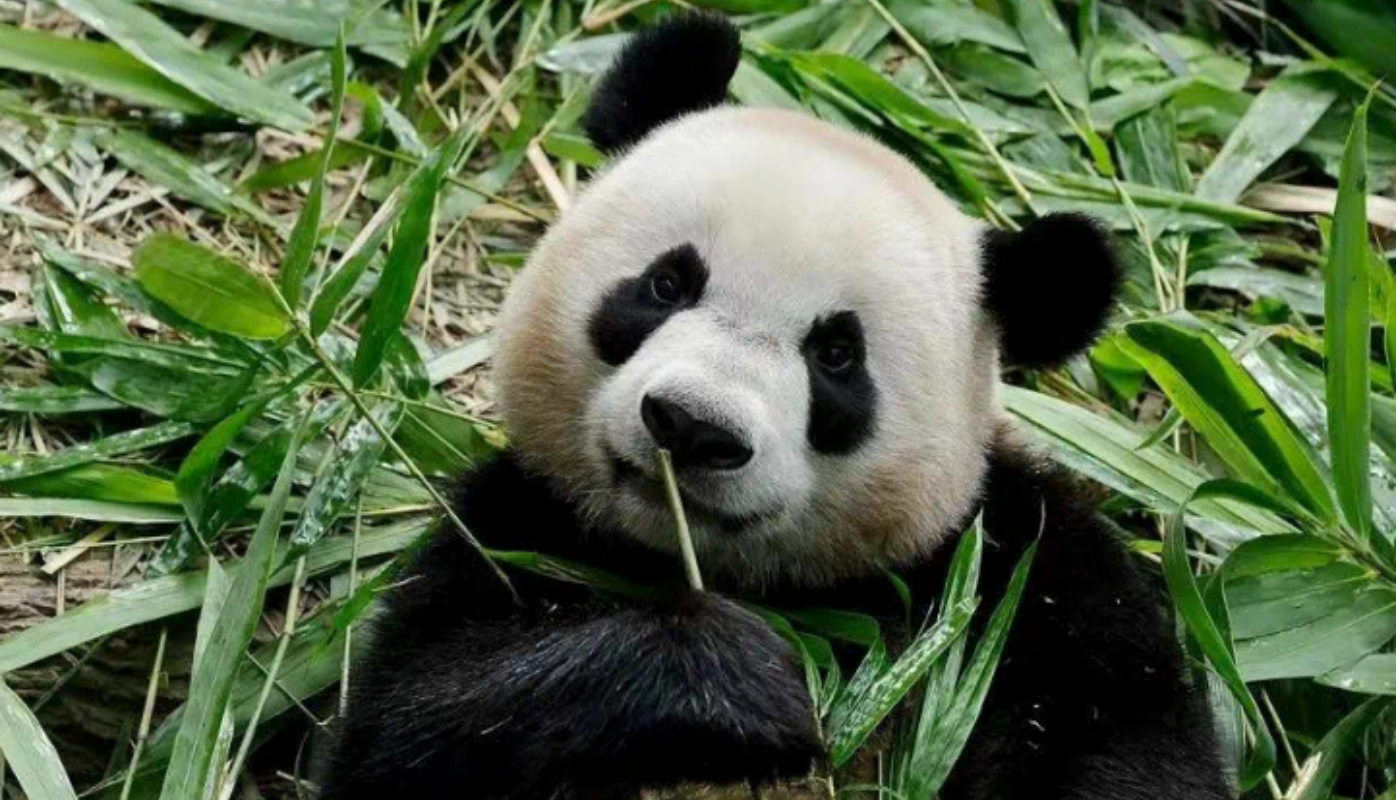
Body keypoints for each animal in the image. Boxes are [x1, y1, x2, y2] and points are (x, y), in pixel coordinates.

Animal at [320, 14, 1230, 800]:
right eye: (666, 284)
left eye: (836, 355)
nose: (693, 427)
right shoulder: (517, 529)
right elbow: (410, 725)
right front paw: (740, 684)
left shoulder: (1025, 577)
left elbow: (1125, 749)